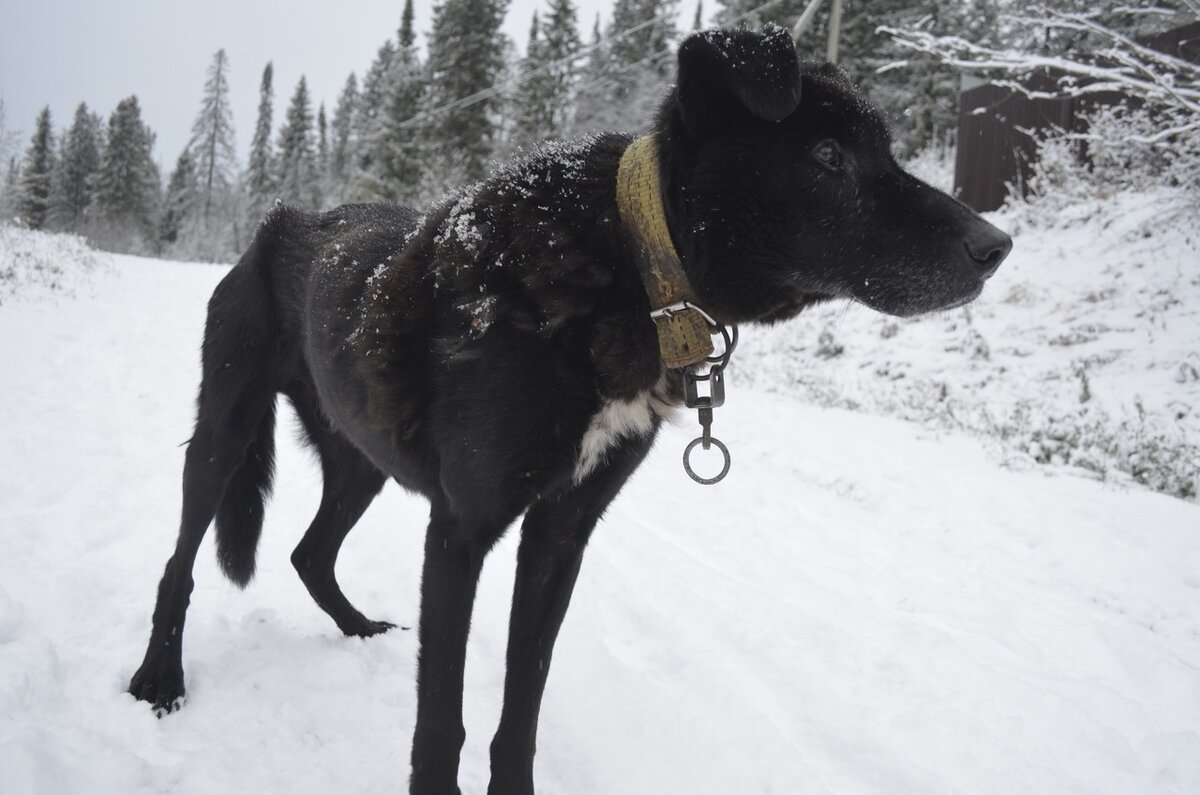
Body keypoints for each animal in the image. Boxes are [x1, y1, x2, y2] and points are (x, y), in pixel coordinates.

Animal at [129, 26, 1012, 795]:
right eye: (829, 156)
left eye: (884, 150)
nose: (997, 246)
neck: (627, 262)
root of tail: (280, 221)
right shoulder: (462, 528)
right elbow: (440, 720)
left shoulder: (561, 531)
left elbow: (522, 703)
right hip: (223, 432)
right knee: (180, 560)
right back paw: (158, 678)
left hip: (360, 460)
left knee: (309, 552)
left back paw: (355, 628)